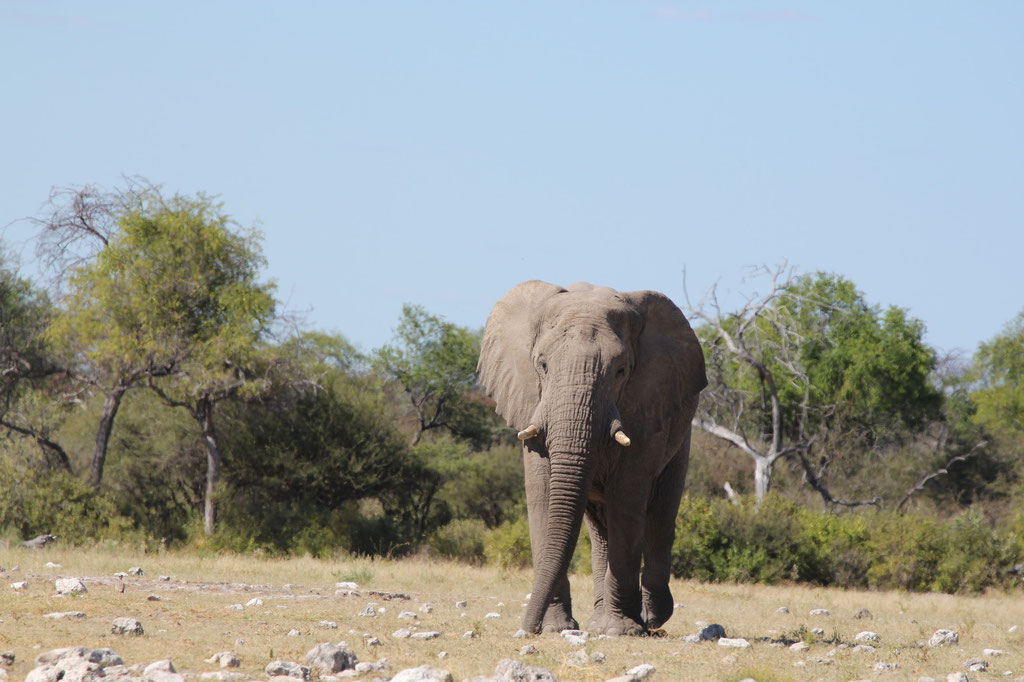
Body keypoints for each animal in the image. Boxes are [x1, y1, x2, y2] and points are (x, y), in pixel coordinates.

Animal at [478, 280, 707, 636]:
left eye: (621, 371)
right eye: (542, 365)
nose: (526, 629)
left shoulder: (645, 404)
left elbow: (628, 496)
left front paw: (620, 631)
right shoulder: (531, 401)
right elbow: (543, 494)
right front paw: (557, 628)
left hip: (681, 431)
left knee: (660, 514)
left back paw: (651, 617)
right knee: (601, 528)